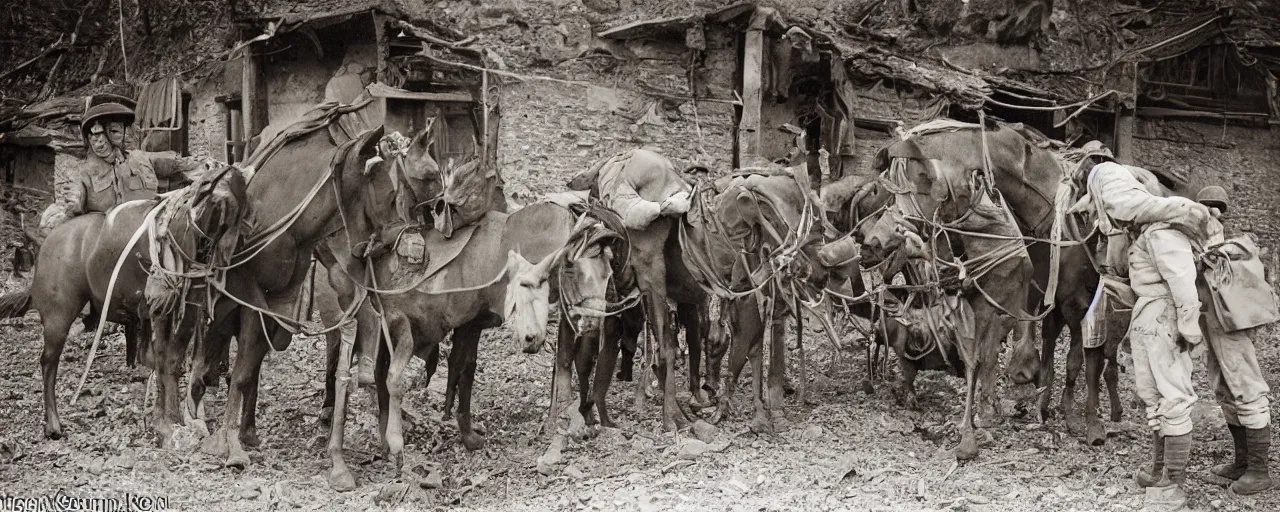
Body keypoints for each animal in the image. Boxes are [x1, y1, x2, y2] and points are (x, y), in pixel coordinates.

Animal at [0, 161, 250, 445]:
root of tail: (48, 243)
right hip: (58, 317)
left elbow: (172, 362)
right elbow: (162, 360)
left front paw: (176, 418)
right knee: (48, 363)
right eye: (209, 183)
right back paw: (53, 423)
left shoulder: (186, 313)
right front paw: (166, 424)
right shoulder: (159, 310)